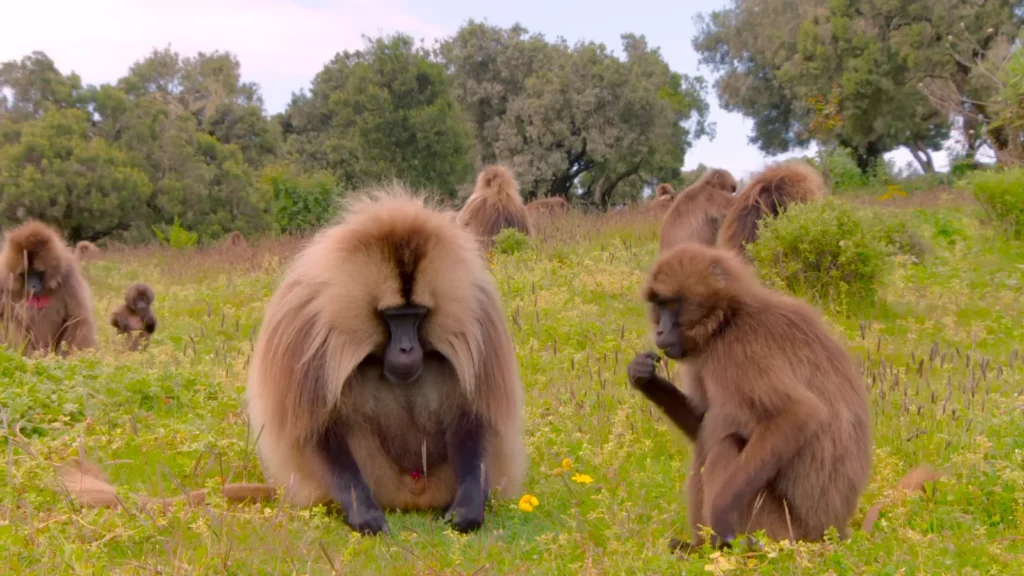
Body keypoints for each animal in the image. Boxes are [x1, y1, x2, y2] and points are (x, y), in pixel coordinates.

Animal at [0, 221, 97, 356]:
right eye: (25, 274)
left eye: (38, 273)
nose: (33, 286)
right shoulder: (3, 279)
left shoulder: (68, 276)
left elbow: (78, 318)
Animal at [246, 186, 526, 536]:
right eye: (393, 317)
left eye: (417, 315)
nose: (406, 349)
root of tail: (413, 499)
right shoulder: (307, 328)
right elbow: (315, 430)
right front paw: (363, 512)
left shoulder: (478, 317)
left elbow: (474, 418)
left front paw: (468, 508)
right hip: (383, 481)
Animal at [626, 243, 870, 551]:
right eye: (658, 305)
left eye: (670, 304)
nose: (659, 330)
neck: (728, 318)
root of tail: (830, 531)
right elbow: (703, 420)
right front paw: (645, 377)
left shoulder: (742, 350)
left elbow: (798, 413)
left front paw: (720, 516)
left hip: (782, 529)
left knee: (724, 447)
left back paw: (714, 547)